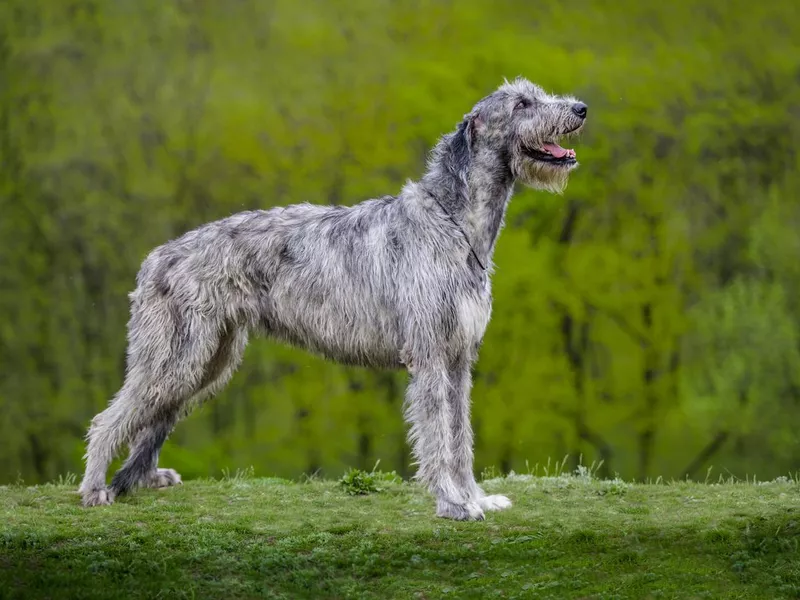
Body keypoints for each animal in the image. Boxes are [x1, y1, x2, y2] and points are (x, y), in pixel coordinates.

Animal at [79, 77, 588, 520]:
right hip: (177, 354)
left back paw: (141, 479)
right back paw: (95, 489)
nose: (581, 108)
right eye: (521, 104)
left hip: (209, 360)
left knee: (154, 416)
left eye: (537, 93)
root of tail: (155, 258)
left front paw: (475, 497)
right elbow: (437, 436)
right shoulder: (429, 355)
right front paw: (453, 503)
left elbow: (460, 435)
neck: (453, 223)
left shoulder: (460, 356)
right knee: (110, 417)